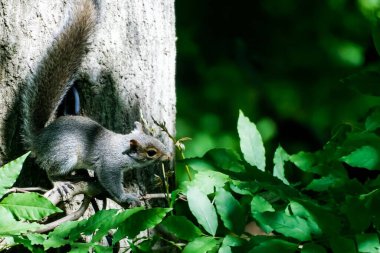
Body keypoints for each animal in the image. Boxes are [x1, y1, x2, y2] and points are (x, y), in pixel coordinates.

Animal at [19, 0, 171, 206]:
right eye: (151, 152)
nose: (168, 156)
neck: (122, 148)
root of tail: (39, 140)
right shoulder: (110, 164)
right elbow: (110, 180)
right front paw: (126, 197)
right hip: (64, 156)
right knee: (50, 171)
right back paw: (60, 183)